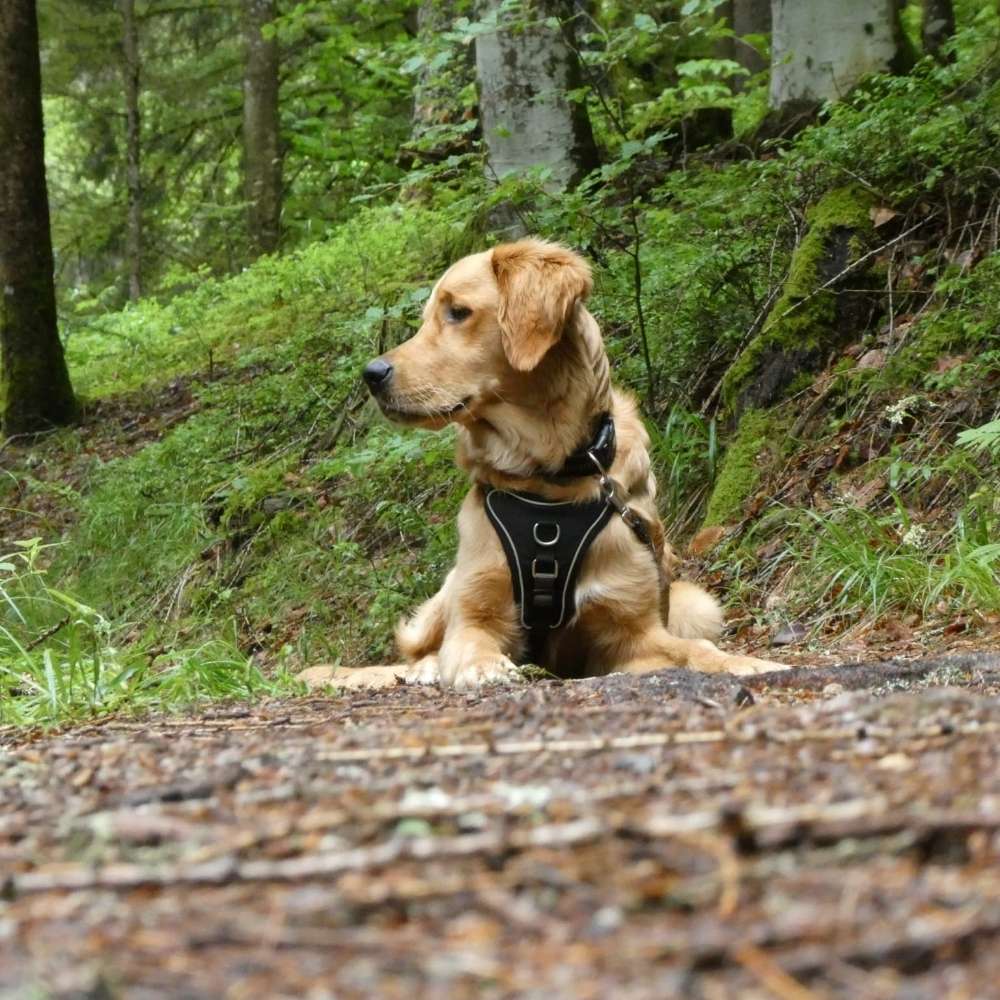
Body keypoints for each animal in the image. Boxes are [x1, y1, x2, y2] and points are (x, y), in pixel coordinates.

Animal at [300, 238, 784, 692]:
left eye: (458, 312)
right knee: (417, 651)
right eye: (426, 318)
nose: (372, 374)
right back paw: (423, 670)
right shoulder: (476, 610)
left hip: (694, 601)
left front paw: (750, 663)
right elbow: (468, 644)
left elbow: (696, 649)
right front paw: (484, 668)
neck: (548, 478)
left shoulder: (633, 631)